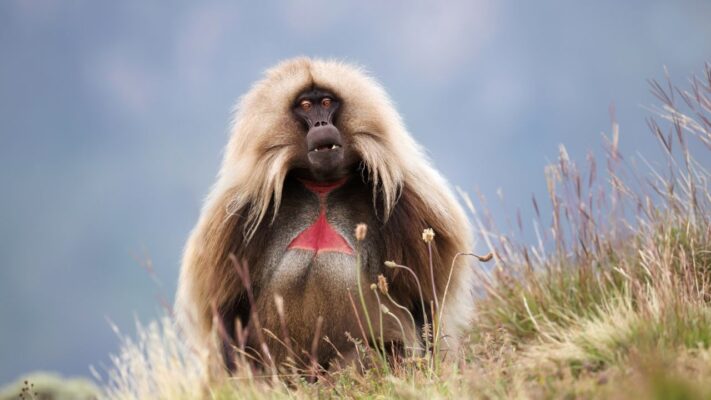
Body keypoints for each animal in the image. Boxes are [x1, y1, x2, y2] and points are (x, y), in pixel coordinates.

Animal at [175, 57, 474, 372]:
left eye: (327, 102)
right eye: (306, 106)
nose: (322, 124)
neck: (322, 187)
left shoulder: (408, 201)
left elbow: (421, 298)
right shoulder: (238, 212)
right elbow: (227, 306)